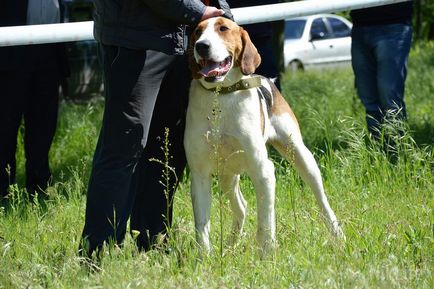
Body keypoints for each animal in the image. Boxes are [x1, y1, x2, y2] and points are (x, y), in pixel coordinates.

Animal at [184, 16, 346, 254]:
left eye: (223, 28)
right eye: (197, 31)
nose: (201, 46)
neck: (220, 98)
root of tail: (264, 78)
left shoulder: (263, 170)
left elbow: (266, 221)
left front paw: (267, 254)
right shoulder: (200, 175)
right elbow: (202, 226)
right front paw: (204, 258)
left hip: (302, 156)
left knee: (322, 199)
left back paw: (337, 234)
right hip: (226, 175)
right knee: (241, 207)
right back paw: (231, 244)